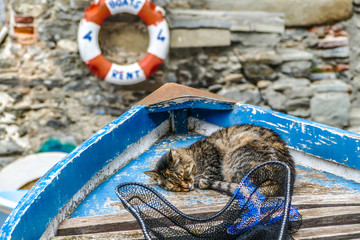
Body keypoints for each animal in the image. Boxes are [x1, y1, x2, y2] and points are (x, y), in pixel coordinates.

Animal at [143, 124, 296, 196]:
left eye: (182, 175)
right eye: (174, 184)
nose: (187, 186)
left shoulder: (216, 150)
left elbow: (207, 176)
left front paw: (200, 180)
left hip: (242, 139)